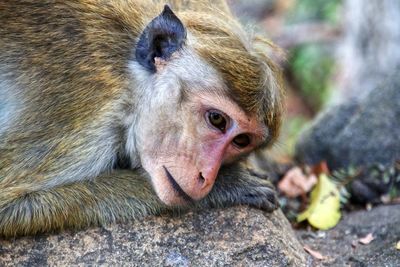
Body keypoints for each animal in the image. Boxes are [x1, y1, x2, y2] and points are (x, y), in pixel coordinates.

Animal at [0, 0, 282, 239]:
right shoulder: (79, 120)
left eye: (242, 141)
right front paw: (228, 185)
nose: (207, 178)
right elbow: (9, 205)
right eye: (217, 120)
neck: (130, 79)